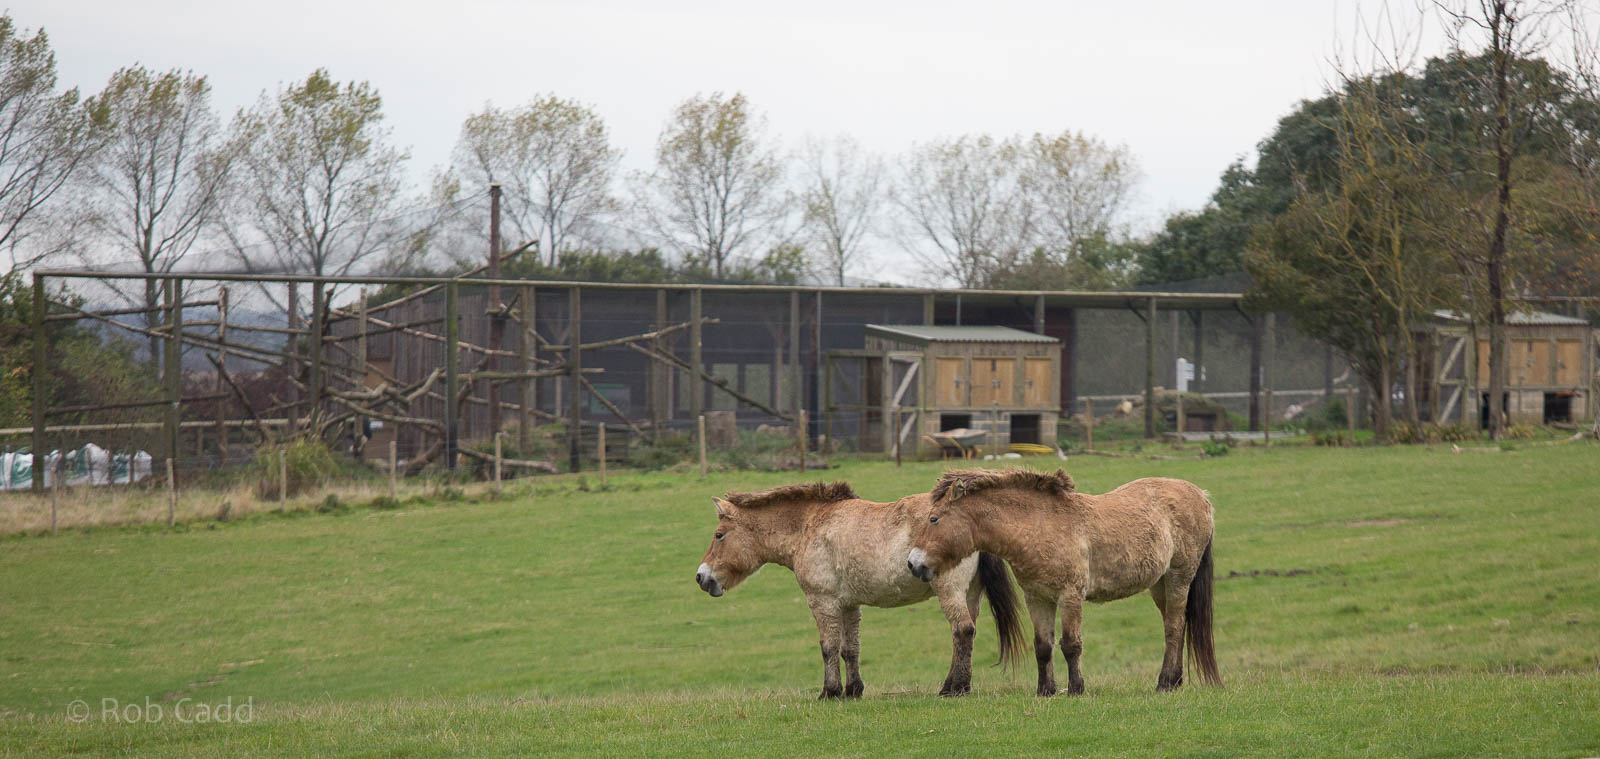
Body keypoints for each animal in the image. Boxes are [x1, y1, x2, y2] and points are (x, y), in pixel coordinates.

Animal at [695, 481, 1026, 699]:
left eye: (719, 535)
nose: (701, 577)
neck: (810, 525)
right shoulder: (849, 605)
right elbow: (850, 649)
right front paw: (853, 690)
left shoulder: (822, 602)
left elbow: (828, 647)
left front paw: (829, 692)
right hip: (970, 594)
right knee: (966, 634)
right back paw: (960, 685)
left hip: (950, 591)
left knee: (962, 631)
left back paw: (953, 689)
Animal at [906, 468, 1220, 696]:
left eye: (933, 519)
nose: (912, 563)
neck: (1039, 527)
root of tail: (1202, 495)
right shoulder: (1037, 598)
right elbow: (1043, 646)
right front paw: (1045, 690)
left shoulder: (1071, 595)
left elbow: (1071, 644)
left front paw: (1076, 689)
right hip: (1160, 585)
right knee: (1175, 626)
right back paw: (1175, 680)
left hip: (1179, 577)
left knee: (1174, 627)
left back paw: (1165, 682)